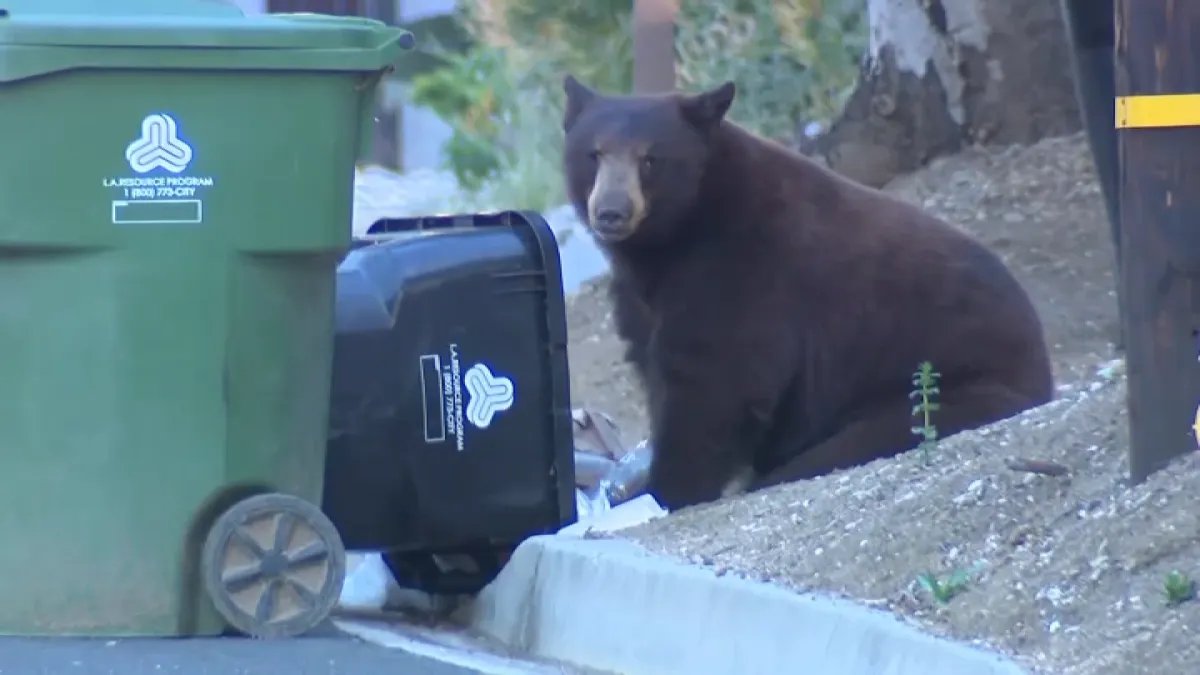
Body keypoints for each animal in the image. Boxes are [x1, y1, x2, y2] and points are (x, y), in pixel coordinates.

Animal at [560, 74, 1056, 511]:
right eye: (594, 154)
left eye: (650, 159)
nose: (611, 212)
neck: (676, 235)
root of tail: (1043, 370)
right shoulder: (645, 296)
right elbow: (655, 363)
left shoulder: (744, 270)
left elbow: (717, 380)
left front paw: (670, 490)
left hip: (944, 390)